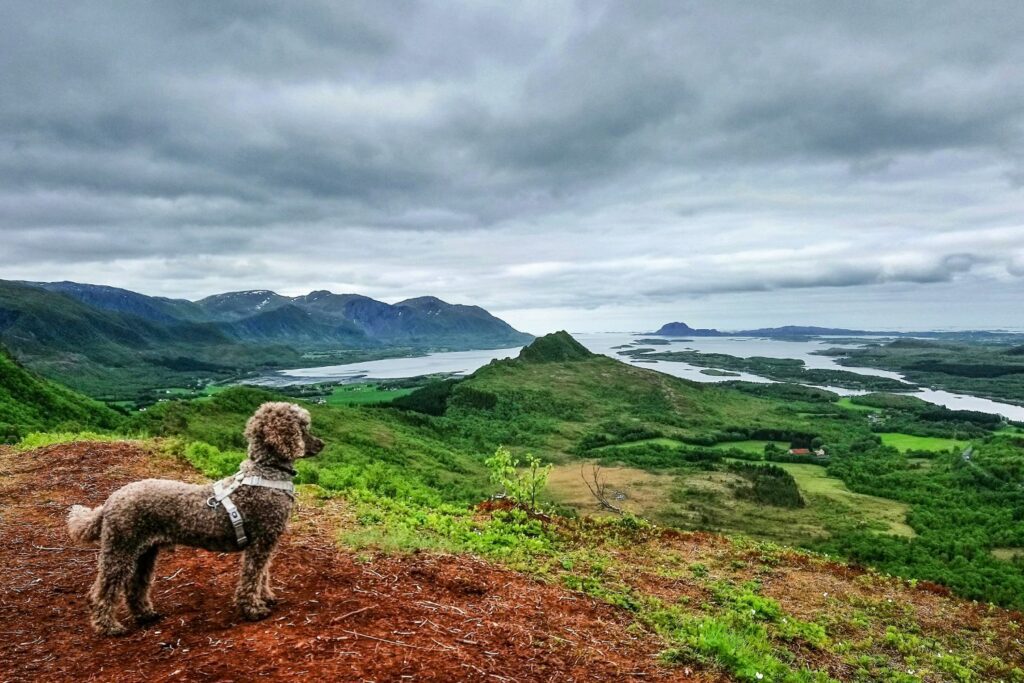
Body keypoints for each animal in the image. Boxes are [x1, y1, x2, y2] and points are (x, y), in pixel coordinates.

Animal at [66, 401, 321, 634]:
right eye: (303, 427)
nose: (322, 444)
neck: (265, 472)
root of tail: (110, 501)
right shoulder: (261, 542)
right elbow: (252, 577)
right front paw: (253, 609)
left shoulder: (266, 543)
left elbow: (263, 574)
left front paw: (265, 596)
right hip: (119, 549)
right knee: (103, 590)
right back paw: (108, 626)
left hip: (144, 553)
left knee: (135, 586)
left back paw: (145, 614)